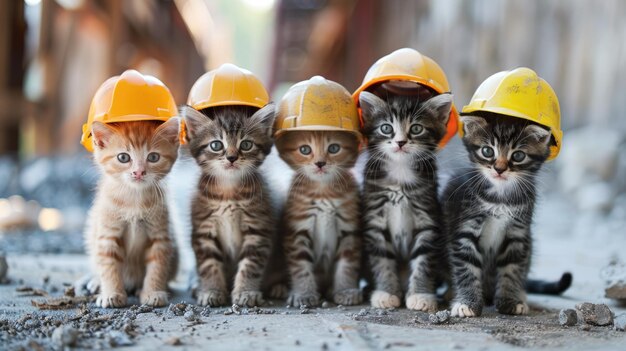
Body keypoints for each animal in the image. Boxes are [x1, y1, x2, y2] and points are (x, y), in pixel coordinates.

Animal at [84, 118, 180, 308]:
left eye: (153, 157)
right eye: (123, 157)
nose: (139, 172)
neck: (134, 199)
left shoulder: (160, 235)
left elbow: (157, 265)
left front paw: (153, 292)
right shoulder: (107, 234)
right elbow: (108, 265)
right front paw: (111, 293)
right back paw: (96, 282)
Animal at [182, 104, 276, 308]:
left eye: (246, 145)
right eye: (216, 145)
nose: (232, 157)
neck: (228, 192)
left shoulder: (258, 229)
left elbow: (250, 265)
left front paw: (246, 292)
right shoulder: (204, 229)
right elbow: (209, 265)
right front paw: (211, 291)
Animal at [356, 91, 448, 314]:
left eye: (416, 128)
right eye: (386, 128)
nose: (400, 142)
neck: (400, 172)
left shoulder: (427, 218)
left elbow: (424, 262)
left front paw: (421, 295)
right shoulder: (375, 220)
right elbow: (382, 262)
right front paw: (386, 293)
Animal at [438, 114, 552, 318]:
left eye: (518, 155)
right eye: (487, 151)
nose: (499, 169)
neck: (500, 197)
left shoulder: (518, 232)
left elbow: (512, 269)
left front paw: (510, 301)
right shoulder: (465, 229)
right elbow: (467, 268)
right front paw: (467, 303)